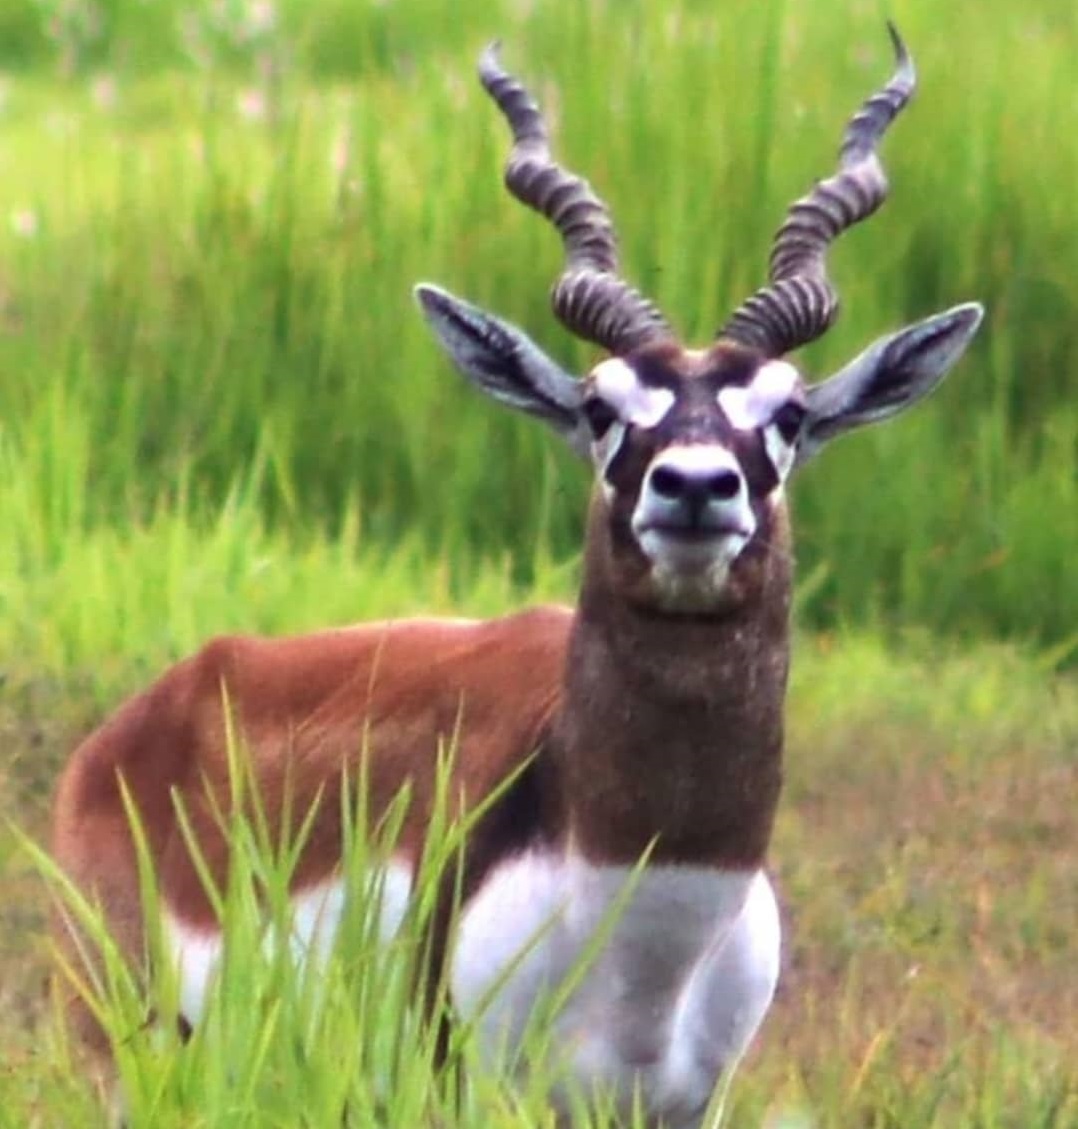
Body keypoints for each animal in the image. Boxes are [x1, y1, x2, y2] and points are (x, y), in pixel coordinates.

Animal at [52, 28, 984, 1129]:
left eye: (789, 414)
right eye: (598, 406)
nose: (694, 485)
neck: (644, 913)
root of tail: (141, 720)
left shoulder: (689, 1102)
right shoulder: (464, 1080)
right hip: (126, 1053)